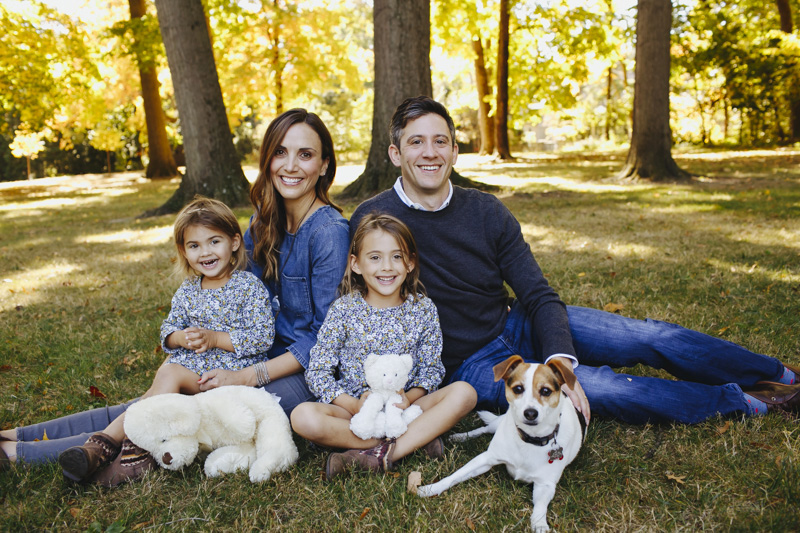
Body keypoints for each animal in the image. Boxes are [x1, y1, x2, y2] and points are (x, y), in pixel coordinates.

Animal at [417, 355, 587, 532]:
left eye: (545, 391)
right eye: (518, 388)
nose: (530, 413)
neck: (528, 438)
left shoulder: (545, 485)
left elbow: (540, 508)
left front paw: (539, 524)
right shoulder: (485, 459)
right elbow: (455, 476)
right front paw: (431, 488)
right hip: (498, 422)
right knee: (485, 428)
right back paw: (461, 437)